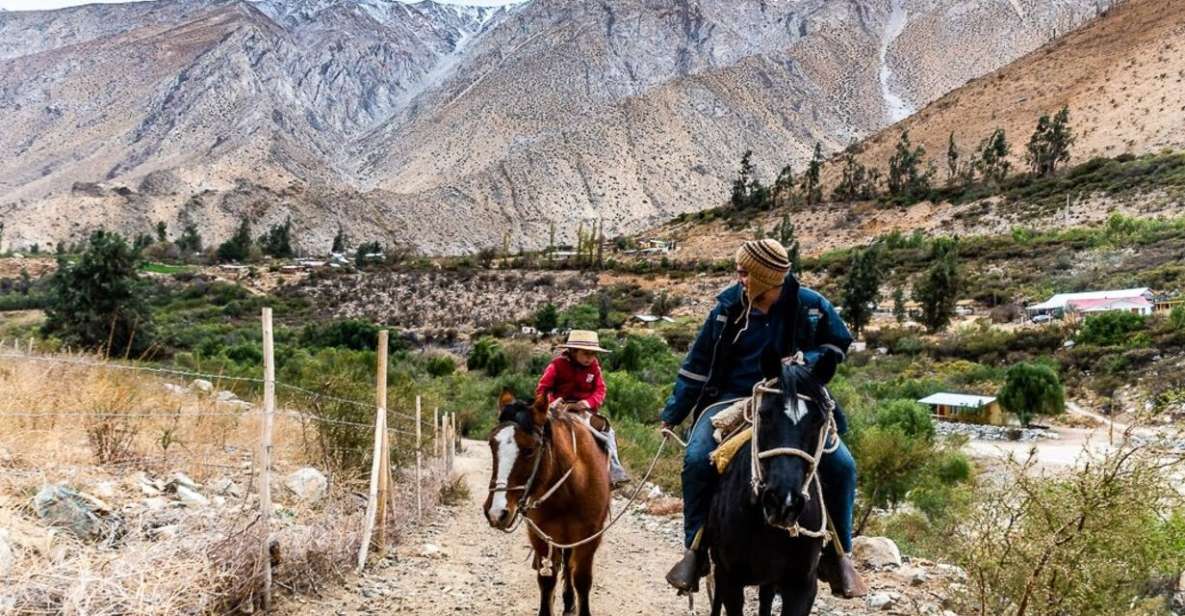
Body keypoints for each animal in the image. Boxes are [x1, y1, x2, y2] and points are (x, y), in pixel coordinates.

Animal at [483, 393, 611, 616]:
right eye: (492, 445)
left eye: (530, 450)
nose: (496, 513)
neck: (571, 488)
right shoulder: (540, 535)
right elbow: (547, 580)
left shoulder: (590, 537)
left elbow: (582, 580)